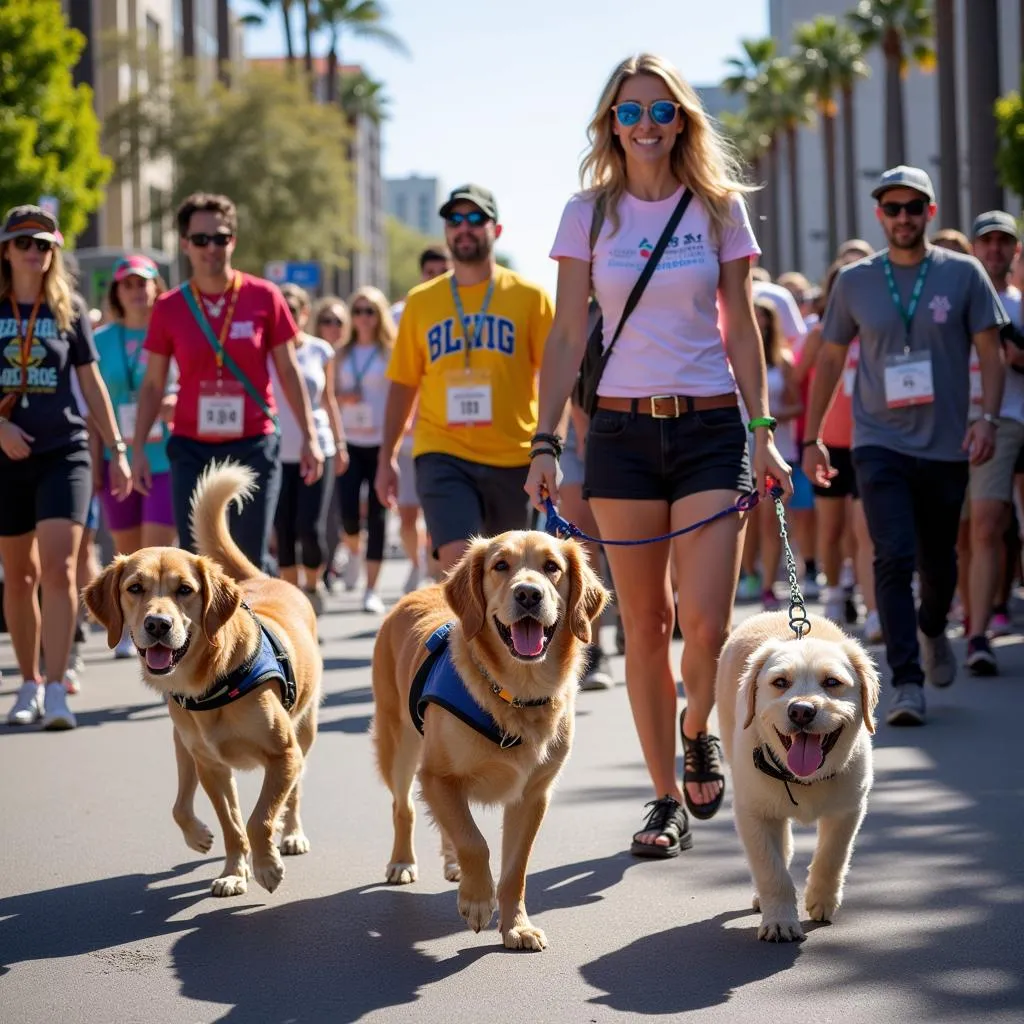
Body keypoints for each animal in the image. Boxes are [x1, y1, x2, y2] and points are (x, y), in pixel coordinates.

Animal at [86, 462, 321, 897]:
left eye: (185, 590)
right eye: (135, 588)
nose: (157, 624)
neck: (211, 680)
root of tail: (266, 577)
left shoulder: (284, 755)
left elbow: (260, 817)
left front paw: (266, 865)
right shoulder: (212, 766)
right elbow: (232, 825)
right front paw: (235, 870)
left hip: (305, 733)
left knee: (293, 793)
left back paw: (292, 833)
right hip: (184, 745)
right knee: (182, 803)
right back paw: (198, 835)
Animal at [372, 532, 602, 946]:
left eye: (552, 567)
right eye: (500, 566)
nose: (528, 594)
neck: (518, 693)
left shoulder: (532, 795)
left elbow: (515, 868)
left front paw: (517, 926)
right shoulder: (438, 777)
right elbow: (473, 841)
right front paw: (478, 901)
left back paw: (452, 864)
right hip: (398, 746)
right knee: (404, 806)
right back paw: (402, 862)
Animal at [712, 610, 880, 937]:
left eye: (832, 682)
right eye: (780, 682)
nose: (801, 710)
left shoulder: (849, 809)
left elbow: (832, 856)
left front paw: (822, 900)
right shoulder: (753, 814)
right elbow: (770, 869)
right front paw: (779, 920)